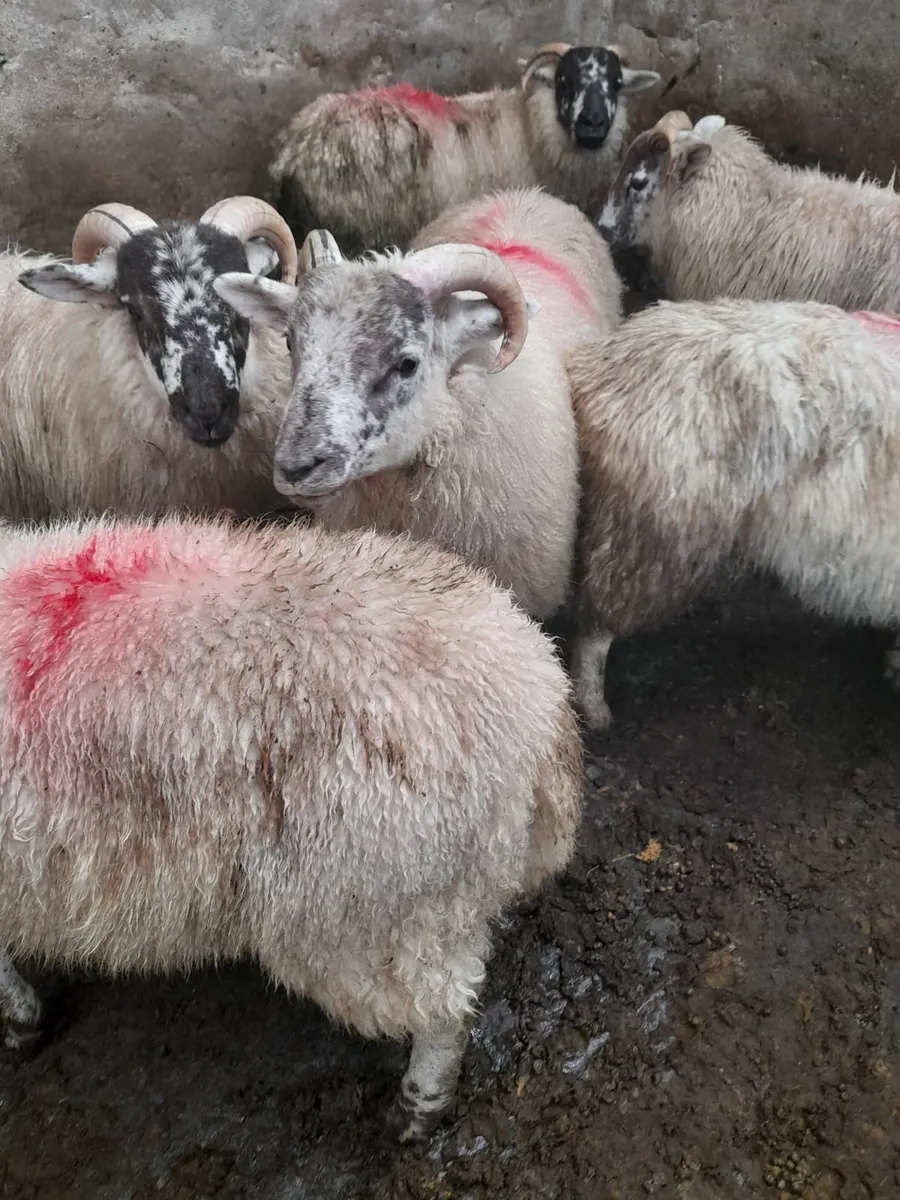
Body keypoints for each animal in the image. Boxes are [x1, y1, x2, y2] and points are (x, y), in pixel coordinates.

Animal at [0, 511, 583, 1141]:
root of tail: (538, 697)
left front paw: (19, 1021)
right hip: (428, 901)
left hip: (371, 914)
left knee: (445, 1012)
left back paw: (419, 1106)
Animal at [268, 42, 661, 254]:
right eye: (566, 81)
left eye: (617, 83)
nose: (594, 124)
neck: (528, 128)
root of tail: (295, 149)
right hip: (356, 229)